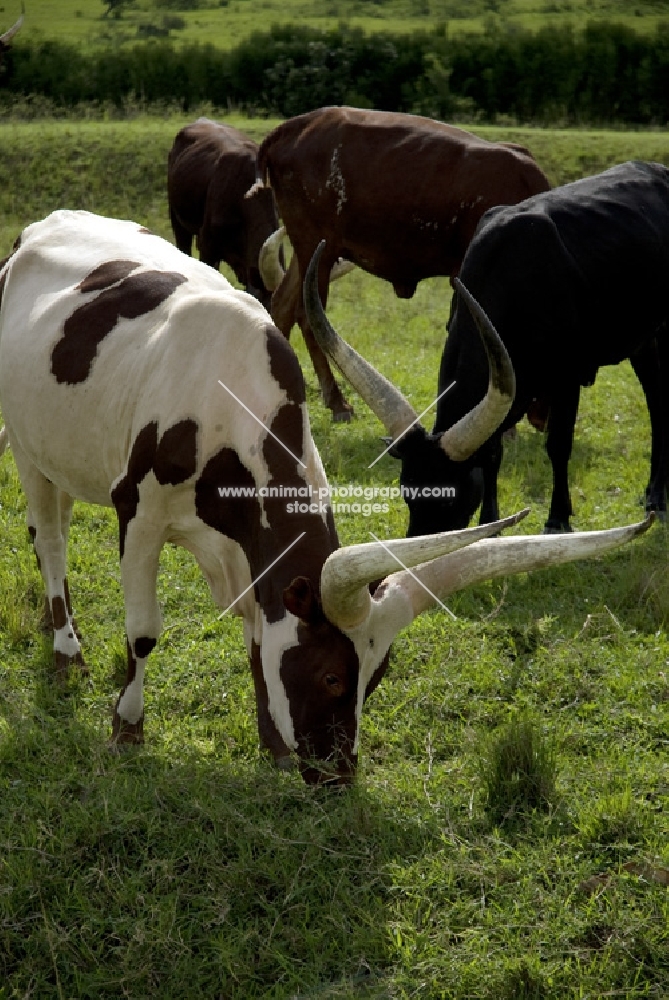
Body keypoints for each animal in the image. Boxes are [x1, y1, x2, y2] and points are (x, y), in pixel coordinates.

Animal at [0, 211, 652, 784]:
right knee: (51, 541)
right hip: (28, 450)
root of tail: (47, 223)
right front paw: (126, 729)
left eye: (376, 677)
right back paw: (66, 650)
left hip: (62, 455)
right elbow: (142, 631)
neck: (228, 403)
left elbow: (257, 634)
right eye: (332, 677)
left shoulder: (251, 554)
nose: (338, 775)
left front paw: (271, 743)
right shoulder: (139, 514)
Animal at [253, 104, 552, 422]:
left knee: (282, 304)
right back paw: (337, 402)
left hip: (309, 249)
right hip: (317, 247)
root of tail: (302, 123)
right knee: (307, 316)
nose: (543, 418)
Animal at [306, 162, 668, 540]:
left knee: (658, 404)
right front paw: (490, 525)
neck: (515, 276)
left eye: (450, 500)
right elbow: (493, 453)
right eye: (407, 491)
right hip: (642, 340)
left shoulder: (566, 378)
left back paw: (656, 497)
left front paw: (557, 520)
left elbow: (558, 445)